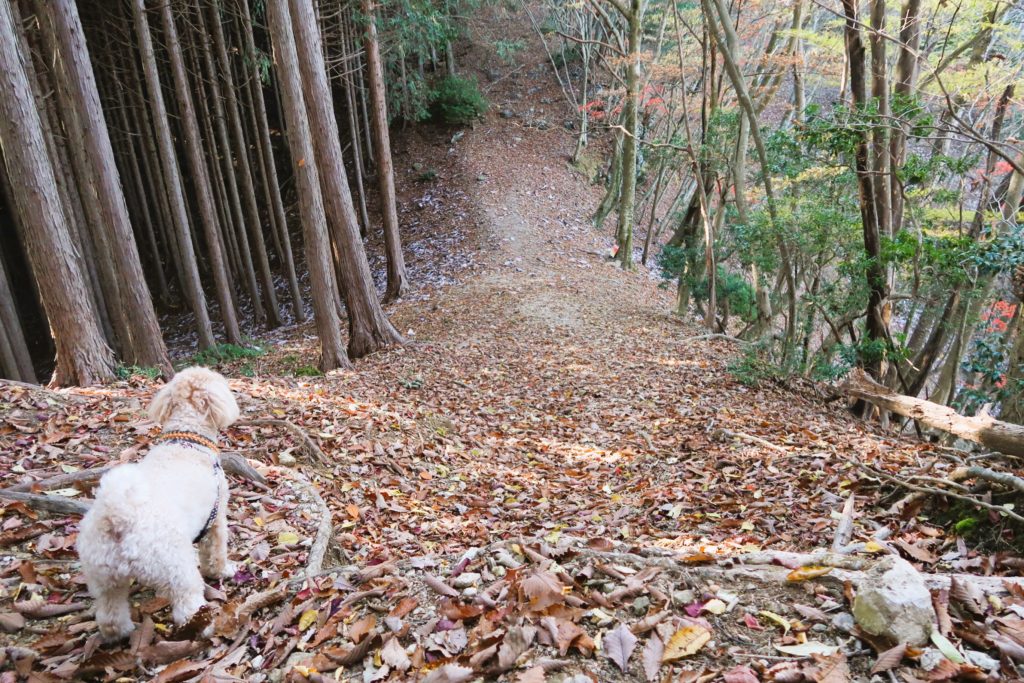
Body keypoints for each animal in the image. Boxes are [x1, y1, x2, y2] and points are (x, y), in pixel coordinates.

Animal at [76, 366, 239, 641]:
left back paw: (120, 633)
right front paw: (223, 570)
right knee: (186, 601)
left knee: (110, 612)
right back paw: (202, 627)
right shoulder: (216, 519)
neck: (189, 437)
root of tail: (118, 515)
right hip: (176, 565)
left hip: (103, 576)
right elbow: (215, 553)